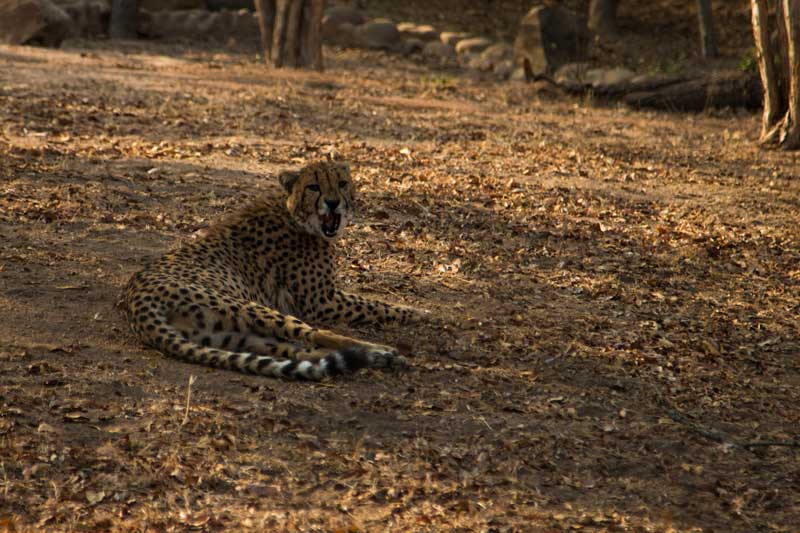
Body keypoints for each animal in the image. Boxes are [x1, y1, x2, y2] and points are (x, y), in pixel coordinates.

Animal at [119, 160, 428, 380]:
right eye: (314, 186)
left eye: (342, 184)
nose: (332, 202)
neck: (294, 214)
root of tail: (135, 300)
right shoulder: (322, 302)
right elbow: (375, 305)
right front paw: (416, 312)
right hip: (252, 308)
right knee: (319, 336)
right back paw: (381, 351)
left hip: (234, 336)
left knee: (298, 352)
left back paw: (383, 359)